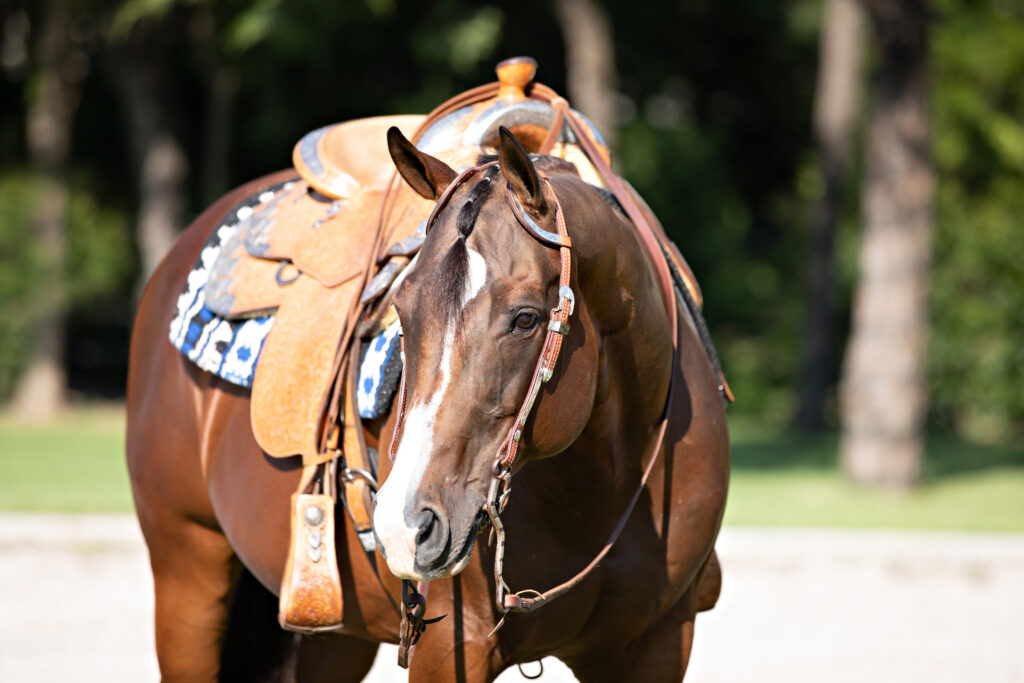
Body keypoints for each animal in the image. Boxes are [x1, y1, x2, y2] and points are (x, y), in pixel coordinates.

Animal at [126, 120, 729, 681]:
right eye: (401, 309)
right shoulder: (448, 649)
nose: (405, 524)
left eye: (526, 318)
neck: (600, 487)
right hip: (187, 578)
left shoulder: (657, 643)